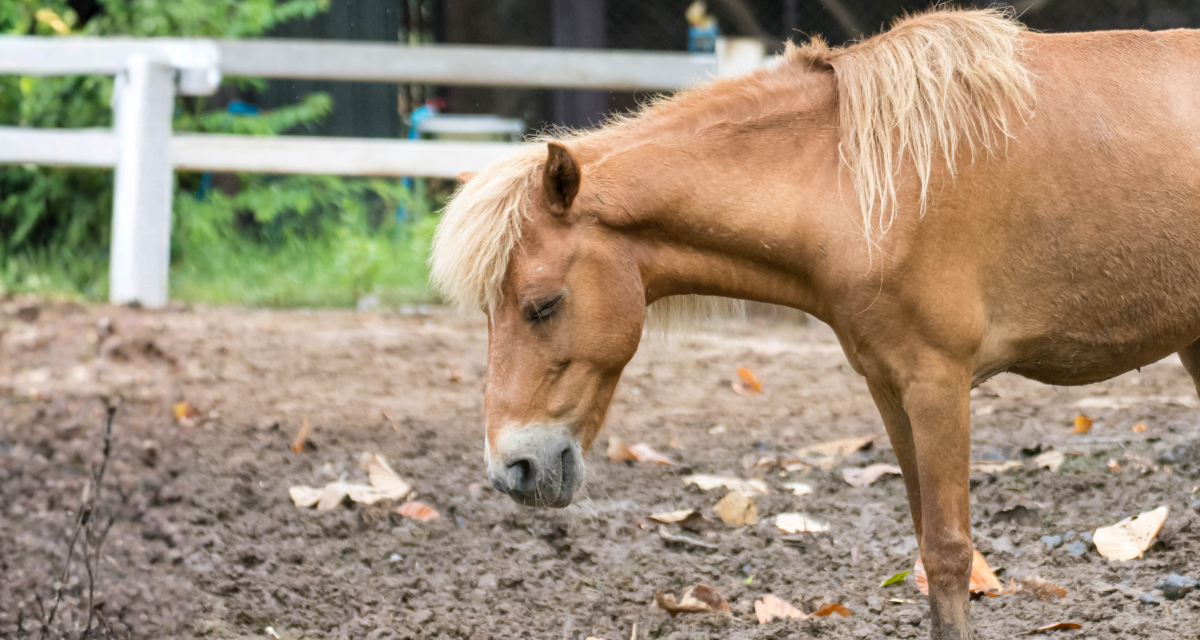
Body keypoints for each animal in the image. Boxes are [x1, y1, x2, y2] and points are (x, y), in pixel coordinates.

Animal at [429, 8, 1200, 639]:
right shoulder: (890, 390)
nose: (514, 469)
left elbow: (950, 553)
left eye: (543, 303)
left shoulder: (938, 386)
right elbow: (927, 546)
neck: (849, 180)